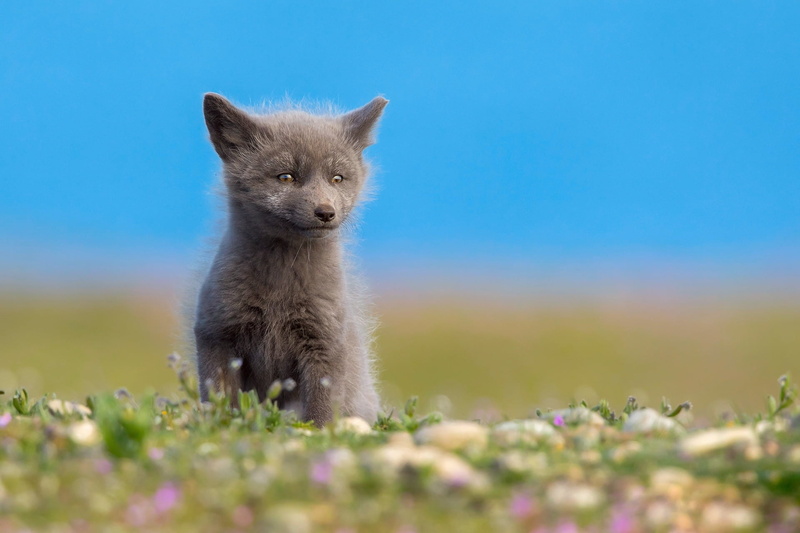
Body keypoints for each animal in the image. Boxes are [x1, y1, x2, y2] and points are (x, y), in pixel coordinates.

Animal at [194, 93, 388, 426]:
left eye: (337, 178)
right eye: (286, 177)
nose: (325, 212)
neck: (278, 292)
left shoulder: (325, 343)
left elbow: (322, 409)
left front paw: (321, 432)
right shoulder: (215, 335)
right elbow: (220, 398)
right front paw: (221, 426)